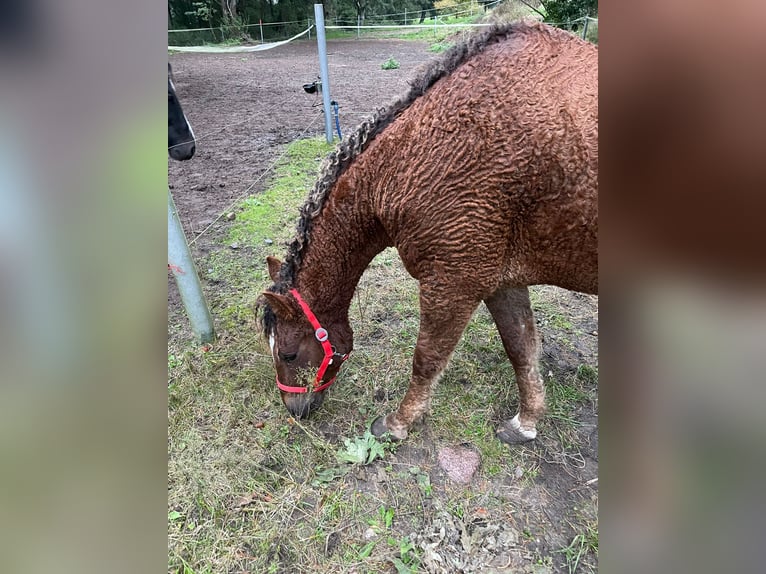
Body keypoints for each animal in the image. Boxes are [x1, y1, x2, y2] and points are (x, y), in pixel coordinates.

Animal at [260, 21, 596, 446]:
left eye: (287, 353)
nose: (295, 410)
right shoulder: (501, 281)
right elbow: (521, 348)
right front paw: (526, 421)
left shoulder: (453, 284)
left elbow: (426, 359)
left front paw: (398, 423)